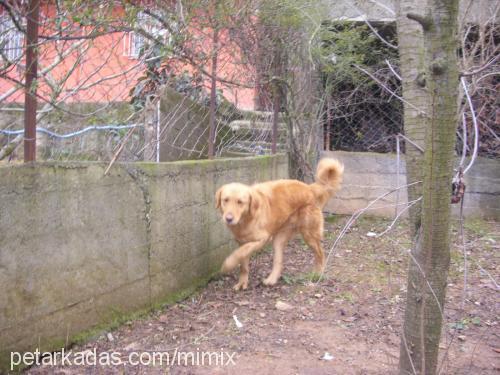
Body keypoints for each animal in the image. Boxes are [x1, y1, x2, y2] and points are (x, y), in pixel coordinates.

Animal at [215, 158, 344, 290]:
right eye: (225, 200)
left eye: (240, 202)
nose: (228, 219)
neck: (246, 219)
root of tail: (309, 188)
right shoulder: (242, 242)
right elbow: (243, 264)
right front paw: (242, 282)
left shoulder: (263, 239)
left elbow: (240, 252)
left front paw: (228, 264)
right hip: (279, 239)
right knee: (278, 262)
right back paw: (271, 280)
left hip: (309, 235)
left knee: (320, 253)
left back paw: (318, 274)